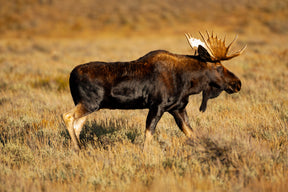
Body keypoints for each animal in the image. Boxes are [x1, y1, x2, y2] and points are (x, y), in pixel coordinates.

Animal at [62, 31, 245, 150]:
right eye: (219, 66)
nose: (237, 83)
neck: (188, 82)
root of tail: (70, 75)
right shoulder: (157, 106)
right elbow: (148, 134)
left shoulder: (177, 108)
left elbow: (191, 133)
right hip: (90, 104)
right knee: (67, 116)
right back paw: (79, 149)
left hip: (87, 105)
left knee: (77, 125)